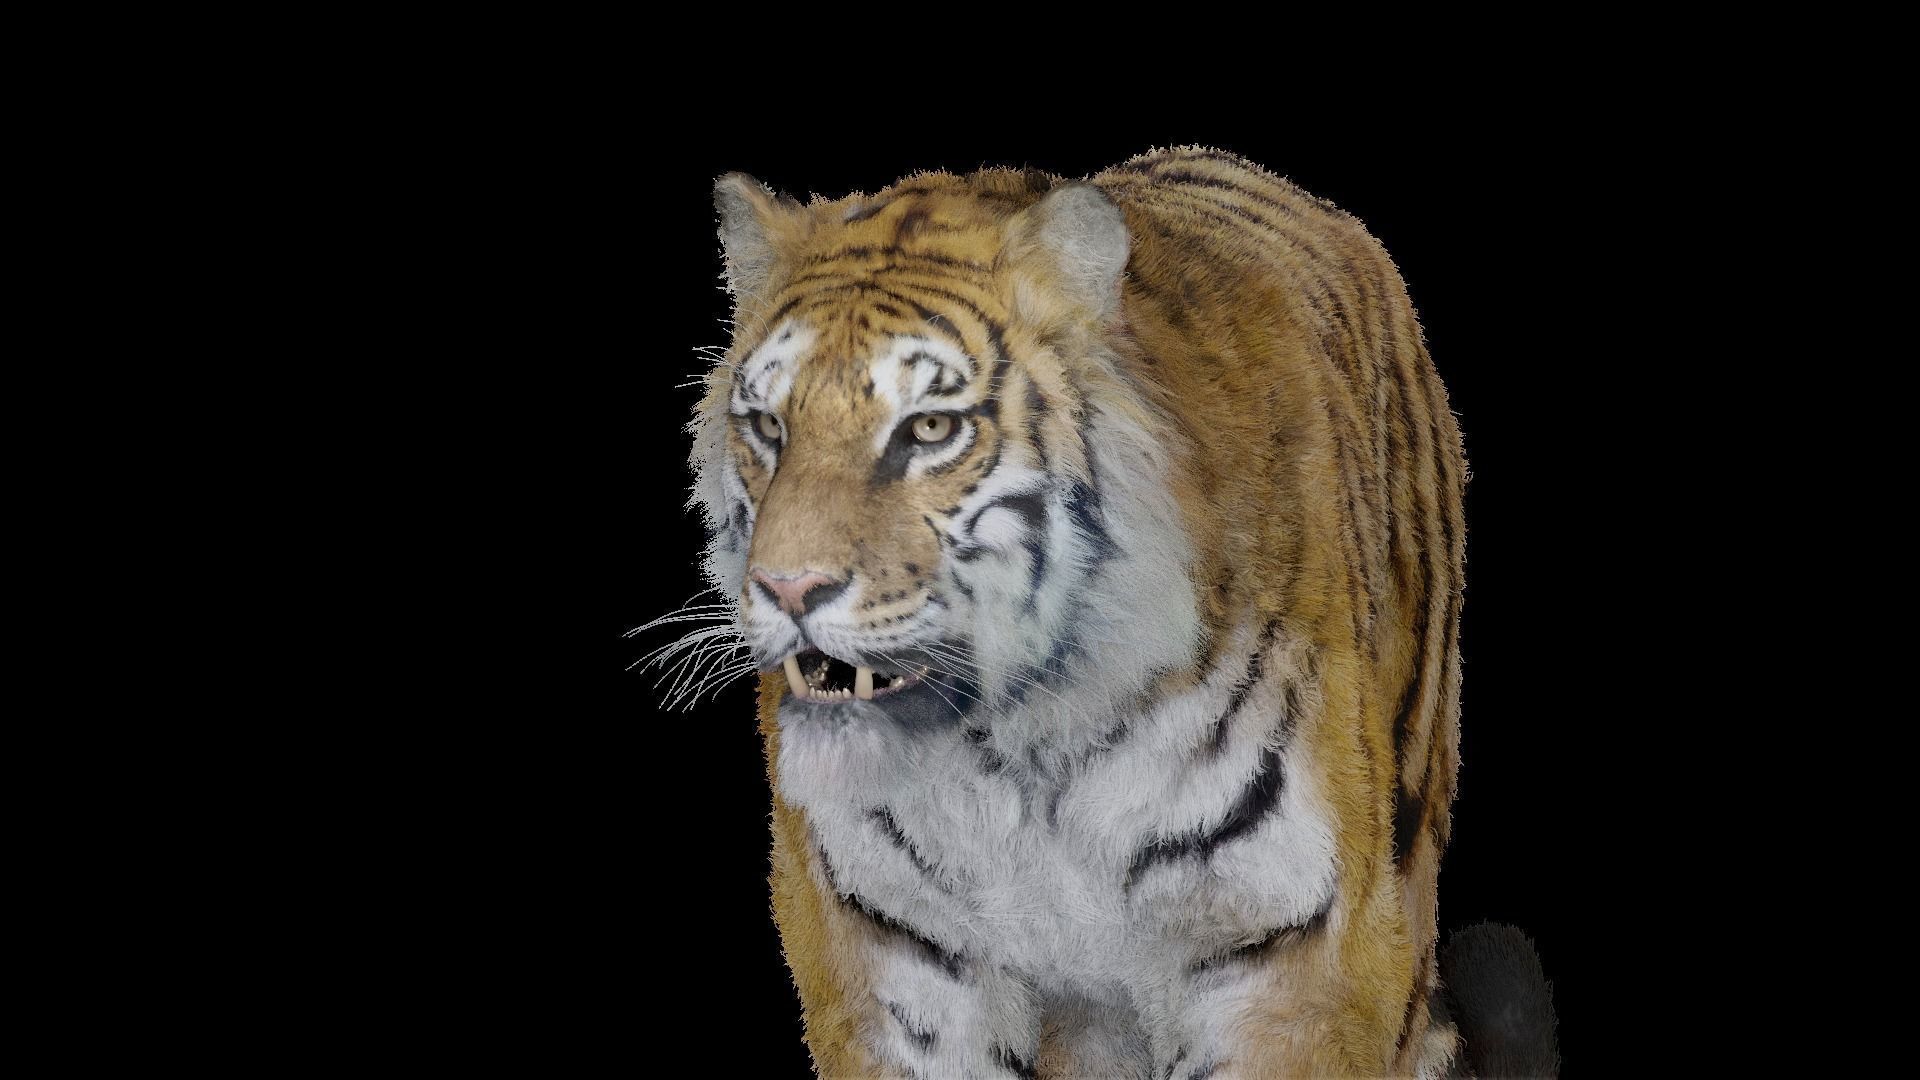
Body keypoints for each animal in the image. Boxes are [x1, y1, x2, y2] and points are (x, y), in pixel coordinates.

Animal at [680, 146, 1556, 1078]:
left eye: (929, 430)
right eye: (769, 427)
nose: (788, 589)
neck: (1024, 745)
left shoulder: (1292, 954)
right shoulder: (897, 952)